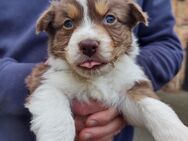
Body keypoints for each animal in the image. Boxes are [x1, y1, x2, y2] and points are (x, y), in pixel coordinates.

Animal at [25, 0, 188, 141]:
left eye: (110, 19)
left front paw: (179, 134)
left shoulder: (129, 86)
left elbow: (155, 107)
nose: (88, 45)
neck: (95, 77)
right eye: (68, 23)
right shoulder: (45, 79)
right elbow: (57, 118)